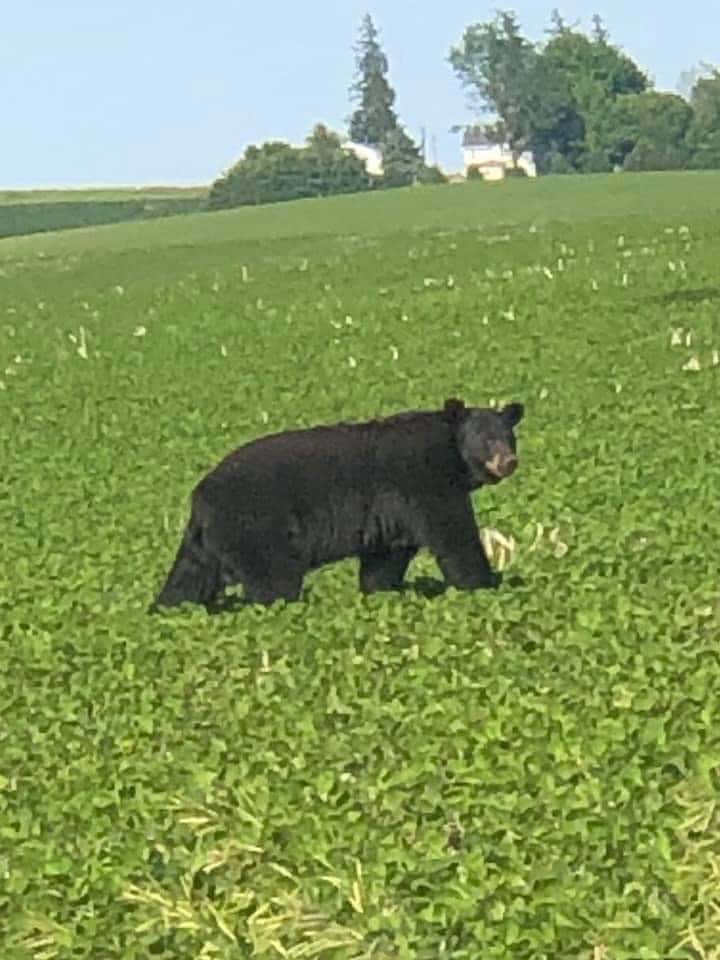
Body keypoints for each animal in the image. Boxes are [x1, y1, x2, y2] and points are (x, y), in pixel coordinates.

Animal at [149, 396, 524, 612]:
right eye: (487, 439)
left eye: (509, 437)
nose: (509, 461)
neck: (451, 455)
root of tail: (200, 496)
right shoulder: (423, 482)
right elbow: (454, 536)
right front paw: (485, 583)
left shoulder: (390, 514)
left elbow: (385, 558)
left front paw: (380, 591)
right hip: (256, 528)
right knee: (273, 581)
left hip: (207, 542)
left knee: (188, 580)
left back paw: (166, 610)